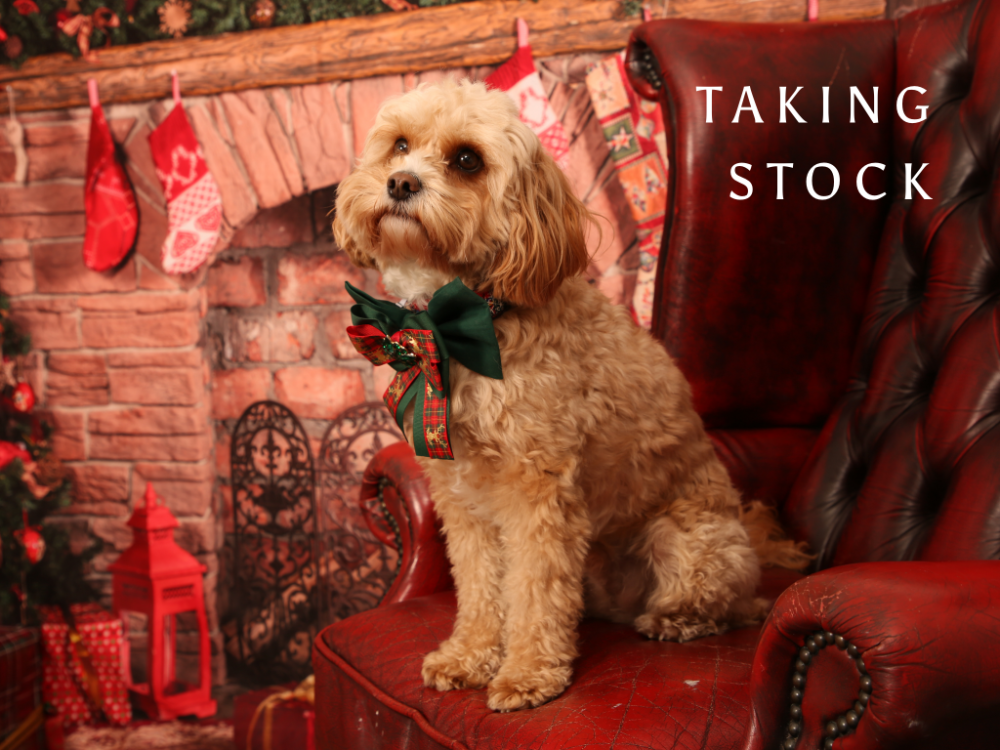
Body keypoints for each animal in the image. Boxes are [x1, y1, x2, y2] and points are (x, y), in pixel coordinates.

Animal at [332, 79, 808, 712]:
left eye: (467, 160)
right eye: (400, 145)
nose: (401, 183)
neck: (463, 324)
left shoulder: (540, 491)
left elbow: (534, 590)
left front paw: (527, 674)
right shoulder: (461, 497)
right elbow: (480, 583)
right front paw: (470, 656)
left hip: (687, 539)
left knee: (732, 606)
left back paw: (676, 619)